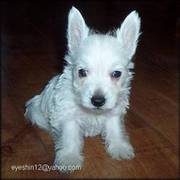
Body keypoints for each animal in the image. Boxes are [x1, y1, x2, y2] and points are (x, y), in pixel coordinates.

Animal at [25, 7, 141, 172]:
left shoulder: (113, 113)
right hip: (35, 111)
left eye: (116, 74)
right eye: (82, 72)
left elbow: (115, 130)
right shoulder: (68, 116)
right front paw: (69, 158)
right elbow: (70, 137)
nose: (98, 101)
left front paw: (119, 147)